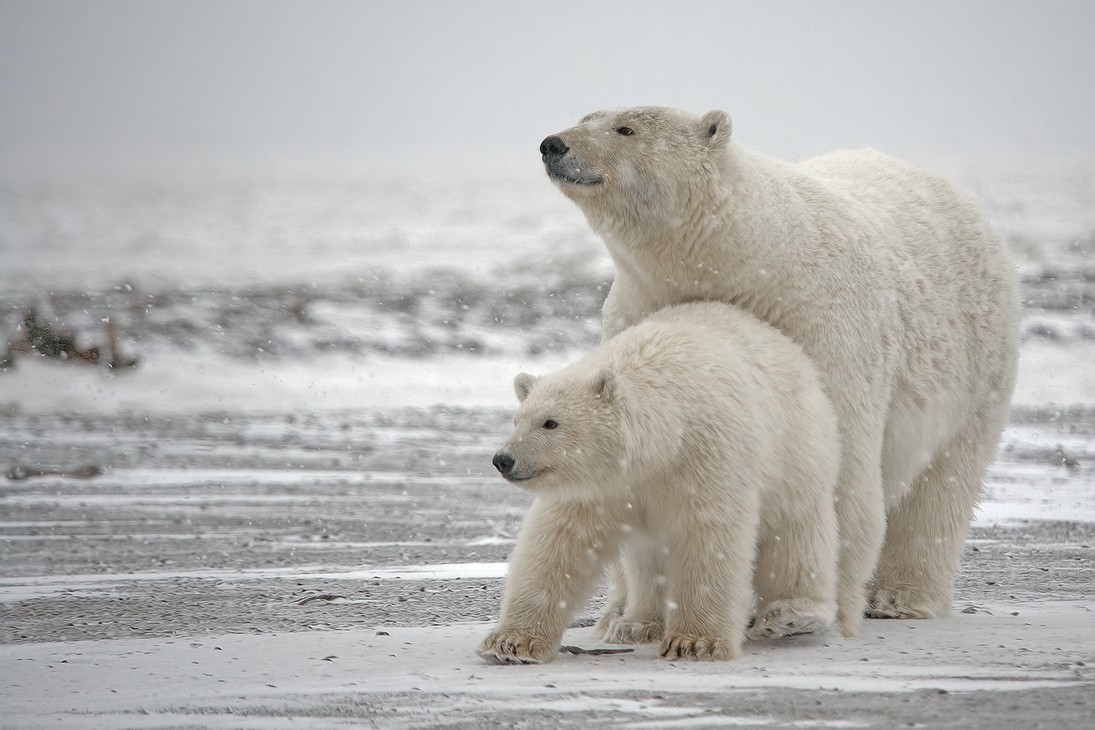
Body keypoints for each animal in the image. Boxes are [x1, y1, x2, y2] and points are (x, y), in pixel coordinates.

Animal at [543, 108, 1020, 639]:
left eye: (626, 128)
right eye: (587, 116)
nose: (553, 144)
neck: (745, 259)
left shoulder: (822, 324)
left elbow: (831, 459)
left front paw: (805, 611)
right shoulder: (640, 307)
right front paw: (629, 621)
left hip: (979, 367)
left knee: (942, 485)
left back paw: (899, 597)